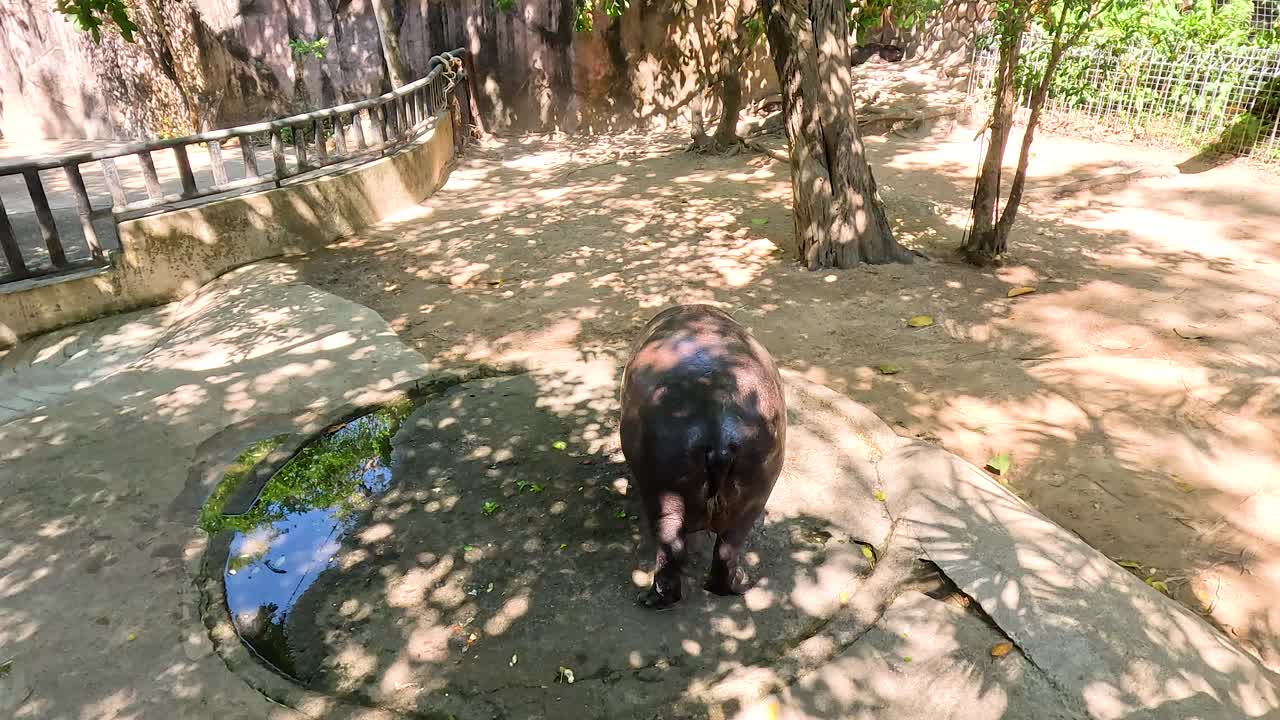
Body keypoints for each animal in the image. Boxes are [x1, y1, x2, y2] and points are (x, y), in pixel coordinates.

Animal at [619, 305, 787, 609]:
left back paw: (649, 599)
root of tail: (719, 418)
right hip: (751, 494)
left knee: (672, 547)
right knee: (725, 550)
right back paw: (738, 584)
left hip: (666, 492)